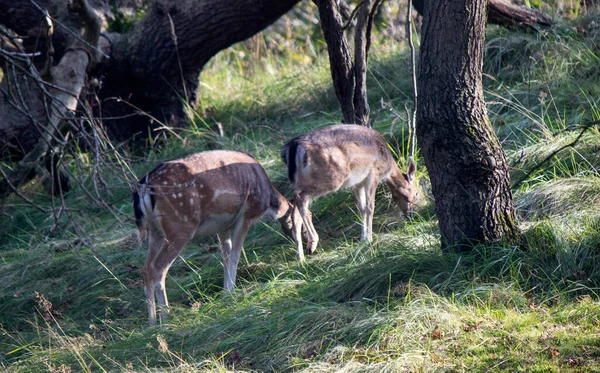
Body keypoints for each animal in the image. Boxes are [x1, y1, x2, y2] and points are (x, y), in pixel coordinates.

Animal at [133, 150, 302, 324]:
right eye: (302, 222)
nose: (306, 250)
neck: (267, 202)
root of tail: (143, 188)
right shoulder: (246, 215)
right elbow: (235, 255)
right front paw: (232, 290)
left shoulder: (223, 227)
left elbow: (226, 257)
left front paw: (226, 292)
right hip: (180, 226)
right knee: (157, 268)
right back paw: (163, 318)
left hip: (155, 232)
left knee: (146, 268)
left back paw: (154, 321)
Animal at [282, 124, 418, 253]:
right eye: (416, 193)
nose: (411, 216)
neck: (388, 167)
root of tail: (294, 146)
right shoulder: (374, 173)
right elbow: (370, 207)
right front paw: (369, 238)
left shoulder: (358, 183)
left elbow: (361, 208)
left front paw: (363, 238)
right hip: (331, 178)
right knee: (299, 197)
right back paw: (313, 241)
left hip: (301, 180)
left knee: (294, 206)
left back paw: (301, 254)